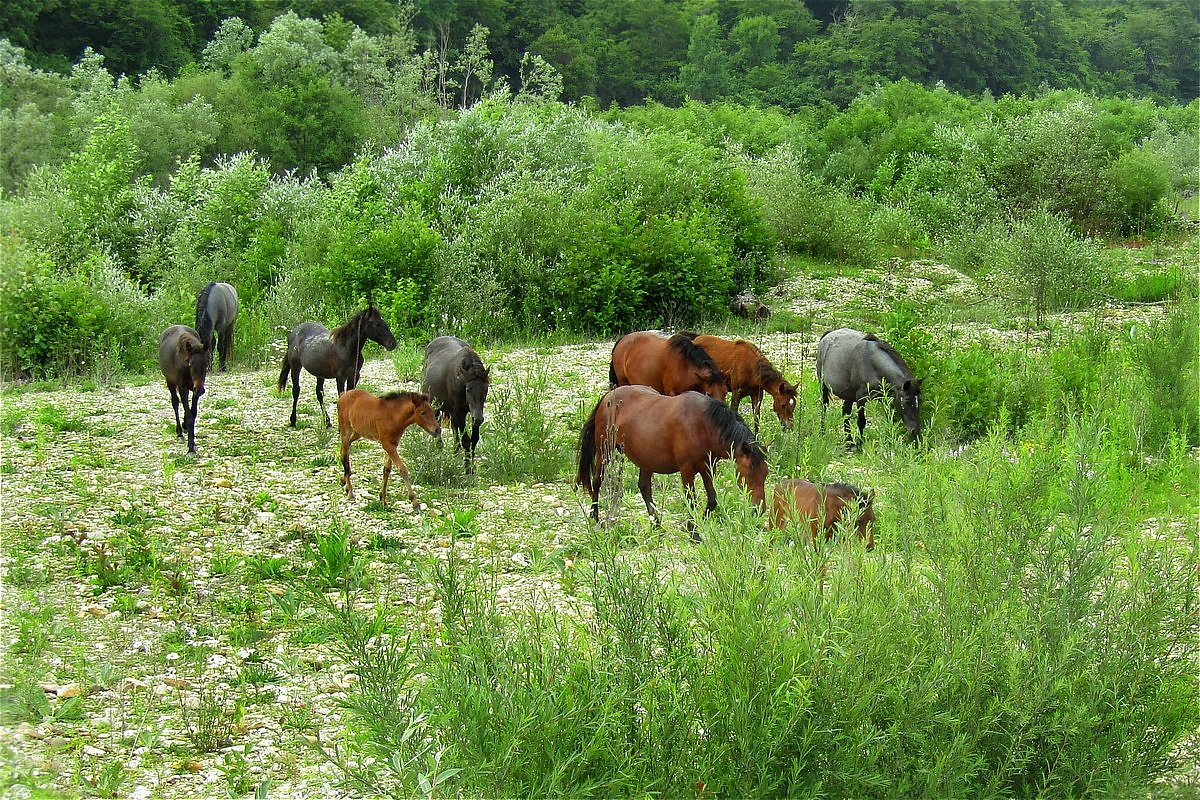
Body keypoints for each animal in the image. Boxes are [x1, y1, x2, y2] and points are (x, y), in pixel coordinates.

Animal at [424, 335, 489, 474]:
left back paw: (456, 451)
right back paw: (440, 451)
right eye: (468, 389)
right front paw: (468, 468)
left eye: (486, 389)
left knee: (454, 428)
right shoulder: (460, 412)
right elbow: (466, 440)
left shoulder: (470, 414)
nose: (479, 418)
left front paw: (472, 465)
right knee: (438, 430)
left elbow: (474, 439)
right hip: (436, 408)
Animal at [573, 386, 763, 542]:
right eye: (749, 472)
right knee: (597, 481)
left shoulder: (708, 468)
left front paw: (697, 523)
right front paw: (693, 532)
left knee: (644, 487)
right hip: (605, 452)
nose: (760, 509)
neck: (703, 426)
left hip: (645, 459)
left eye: (765, 474)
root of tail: (608, 396)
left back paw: (656, 524)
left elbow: (712, 499)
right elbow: (691, 501)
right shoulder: (687, 469)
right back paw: (595, 517)